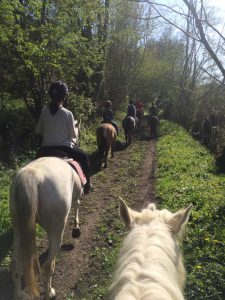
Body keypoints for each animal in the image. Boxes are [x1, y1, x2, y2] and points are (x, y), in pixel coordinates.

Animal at [9, 120, 83, 298]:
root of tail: (32, 175)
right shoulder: (77, 194)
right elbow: (77, 205)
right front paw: (76, 229)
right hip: (56, 230)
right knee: (49, 265)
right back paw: (50, 292)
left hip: (19, 229)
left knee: (15, 267)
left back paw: (18, 294)